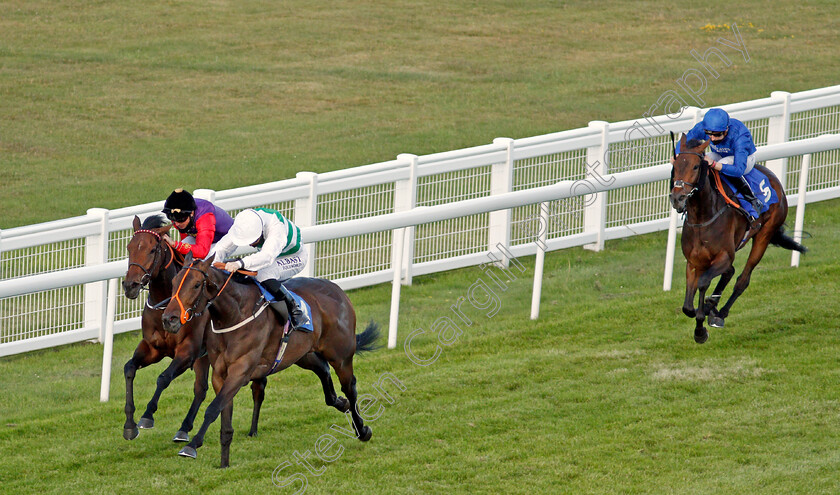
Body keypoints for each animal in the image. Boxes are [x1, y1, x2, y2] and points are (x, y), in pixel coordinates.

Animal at [120, 216, 266, 442]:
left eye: (152, 250)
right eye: (129, 247)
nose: (130, 286)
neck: (165, 304)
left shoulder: (188, 351)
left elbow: (163, 378)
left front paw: (147, 416)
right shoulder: (153, 348)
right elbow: (129, 369)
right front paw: (129, 425)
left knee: (253, 386)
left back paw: (252, 429)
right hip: (204, 357)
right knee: (201, 389)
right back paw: (184, 428)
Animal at [158, 254, 380, 466]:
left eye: (197, 284)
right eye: (174, 282)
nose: (169, 320)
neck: (235, 314)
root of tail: (337, 289)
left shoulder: (240, 371)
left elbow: (213, 409)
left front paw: (192, 446)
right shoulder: (221, 375)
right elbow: (224, 418)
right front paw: (224, 464)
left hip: (341, 356)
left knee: (350, 387)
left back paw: (362, 430)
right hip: (303, 354)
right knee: (324, 372)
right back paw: (341, 403)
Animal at [668, 136, 808, 344]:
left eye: (695, 166)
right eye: (675, 166)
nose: (678, 198)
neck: (702, 217)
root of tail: (772, 177)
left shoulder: (724, 256)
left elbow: (703, 283)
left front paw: (701, 327)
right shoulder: (694, 262)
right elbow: (687, 307)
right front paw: (702, 315)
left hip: (764, 235)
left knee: (742, 279)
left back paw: (720, 313)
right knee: (730, 272)